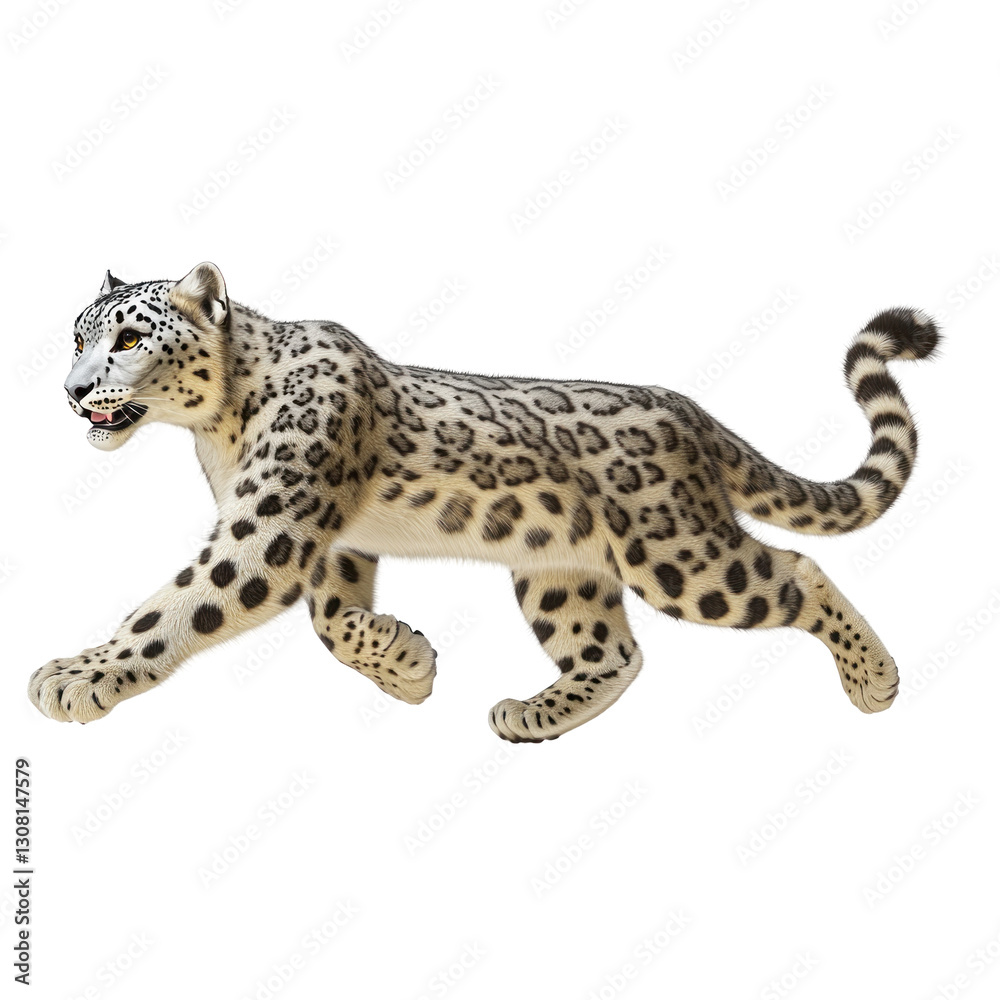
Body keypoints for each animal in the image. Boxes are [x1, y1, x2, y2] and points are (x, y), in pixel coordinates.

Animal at [28, 262, 939, 742]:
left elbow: (176, 605)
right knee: (614, 651)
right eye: (76, 335)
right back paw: (529, 714)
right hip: (559, 570)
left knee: (794, 570)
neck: (215, 428)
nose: (71, 391)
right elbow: (332, 620)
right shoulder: (324, 537)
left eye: (128, 338)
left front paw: (74, 676)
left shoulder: (269, 526)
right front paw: (405, 664)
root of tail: (691, 414)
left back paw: (876, 679)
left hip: (681, 557)